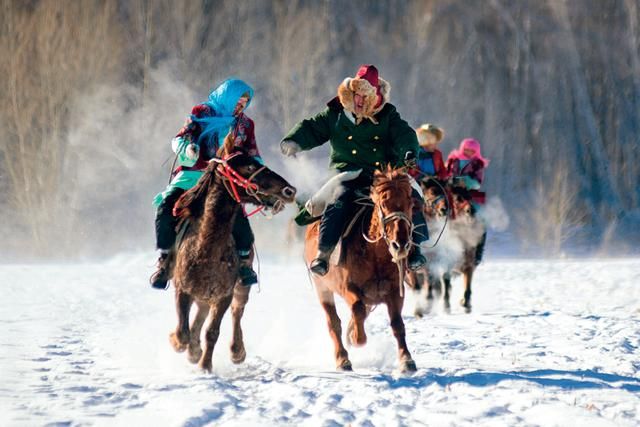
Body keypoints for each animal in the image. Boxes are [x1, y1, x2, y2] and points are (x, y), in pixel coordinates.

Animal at [304, 168, 420, 374]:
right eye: (383, 203)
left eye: (410, 203)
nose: (401, 245)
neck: (375, 254)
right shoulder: (347, 287)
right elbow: (356, 308)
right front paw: (357, 339)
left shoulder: (394, 291)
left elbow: (397, 324)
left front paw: (406, 359)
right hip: (322, 288)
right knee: (333, 322)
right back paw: (342, 358)